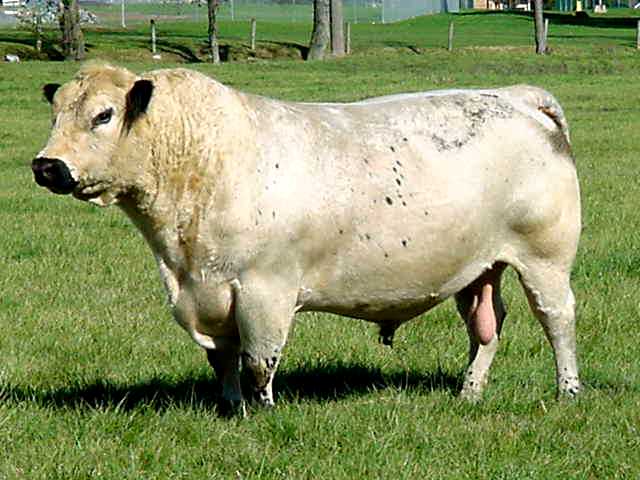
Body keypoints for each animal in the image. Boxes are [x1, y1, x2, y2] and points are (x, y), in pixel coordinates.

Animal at [32, 62, 584, 416]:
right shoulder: (204, 291)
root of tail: (514, 95)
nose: (46, 165)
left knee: (557, 320)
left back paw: (568, 392)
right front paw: (231, 408)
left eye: (103, 115)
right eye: (56, 115)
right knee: (486, 326)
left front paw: (265, 414)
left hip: (545, 258)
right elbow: (222, 358)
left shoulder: (264, 289)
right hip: (479, 266)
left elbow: (259, 360)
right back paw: (469, 392)